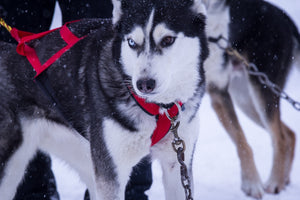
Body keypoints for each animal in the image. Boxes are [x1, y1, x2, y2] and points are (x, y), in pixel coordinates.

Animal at [0, 0, 207, 200]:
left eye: (168, 40)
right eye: (132, 42)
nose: (143, 84)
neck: (159, 108)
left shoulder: (177, 162)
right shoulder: (111, 172)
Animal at [203, 0, 298, 198]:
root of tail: (284, 17)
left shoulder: (218, 92)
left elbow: (242, 143)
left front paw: (251, 184)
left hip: (260, 90)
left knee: (280, 138)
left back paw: (274, 183)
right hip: (245, 100)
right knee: (289, 134)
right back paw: (284, 180)